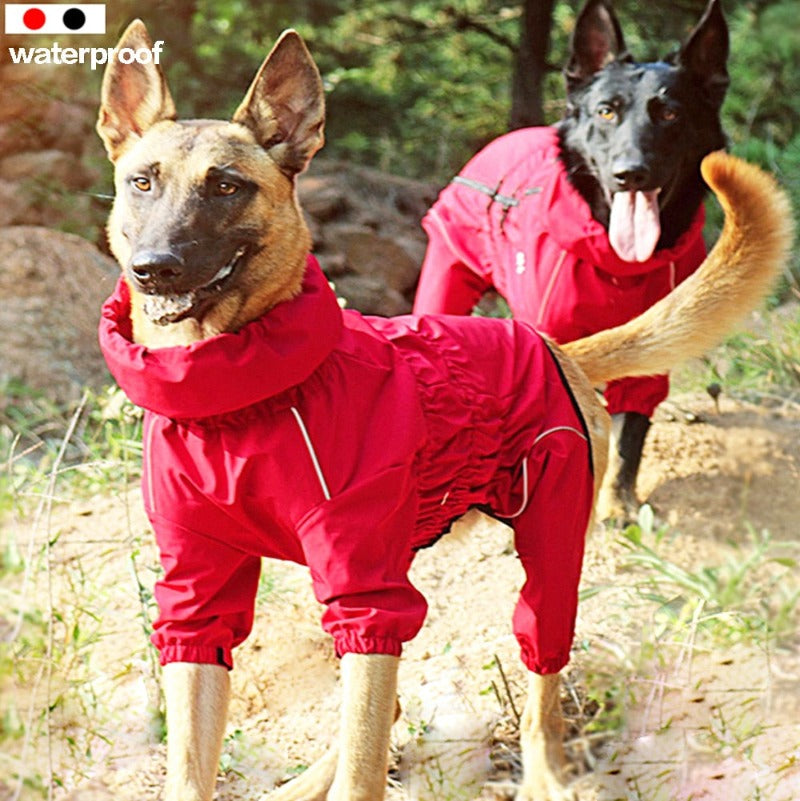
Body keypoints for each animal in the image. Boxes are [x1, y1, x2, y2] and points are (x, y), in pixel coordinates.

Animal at [416, 0, 728, 520]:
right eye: (606, 111)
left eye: (669, 113)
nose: (629, 173)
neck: (619, 263)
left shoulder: (652, 349)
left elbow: (630, 438)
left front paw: (619, 505)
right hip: (446, 278)